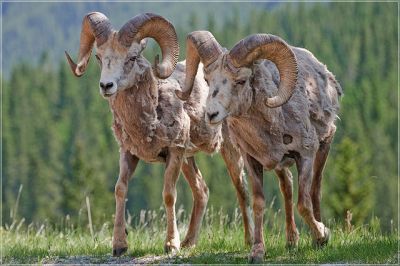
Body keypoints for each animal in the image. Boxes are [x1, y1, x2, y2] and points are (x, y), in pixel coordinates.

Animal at [65, 13, 253, 256]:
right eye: (99, 56)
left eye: (132, 57)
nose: (106, 85)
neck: (151, 114)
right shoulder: (128, 153)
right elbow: (120, 190)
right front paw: (119, 245)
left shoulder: (174, 151)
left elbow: (169, 194)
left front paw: (171, 245)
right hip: (188, 160)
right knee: (202, 190)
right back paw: (189, 242)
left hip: (228, 150)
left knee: (242, 190)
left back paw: (249, 241)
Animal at [177, 31, 342, 262]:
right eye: (208, 80)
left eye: (241, 81)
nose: (211, 114)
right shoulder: (252, 160)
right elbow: (258, 203)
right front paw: (257, 251)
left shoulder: (305, 155)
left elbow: (304, 203)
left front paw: (323, 235)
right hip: (280, 165)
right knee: (287, 187)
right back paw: (292, 241)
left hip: (324, 147)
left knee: (315, 190)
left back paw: (316, 239)